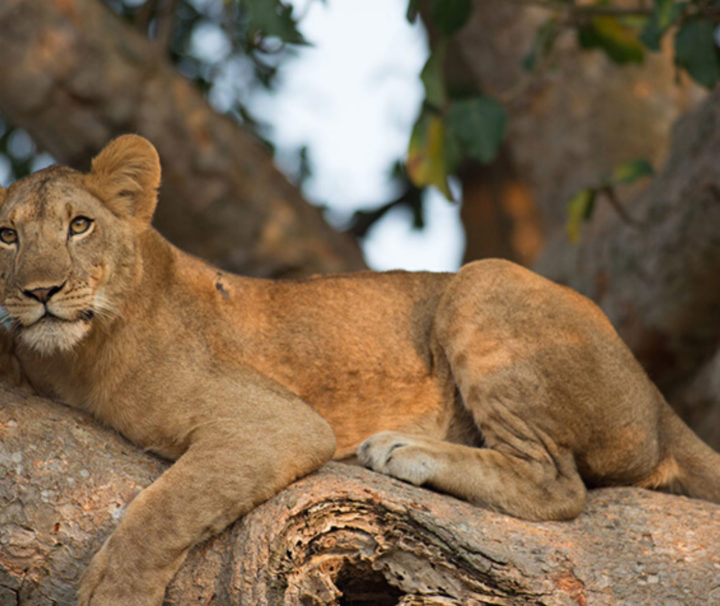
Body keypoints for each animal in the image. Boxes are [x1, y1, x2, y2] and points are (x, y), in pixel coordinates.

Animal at [0, 134, 716, 606]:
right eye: (7, 235)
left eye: (80, 225)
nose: (40, 291)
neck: (75, 354)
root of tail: (657, 402)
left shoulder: (278, 423)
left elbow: (163, 512)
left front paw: (111, 591)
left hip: (482, 282)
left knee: (558, 486)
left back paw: (407, 450)